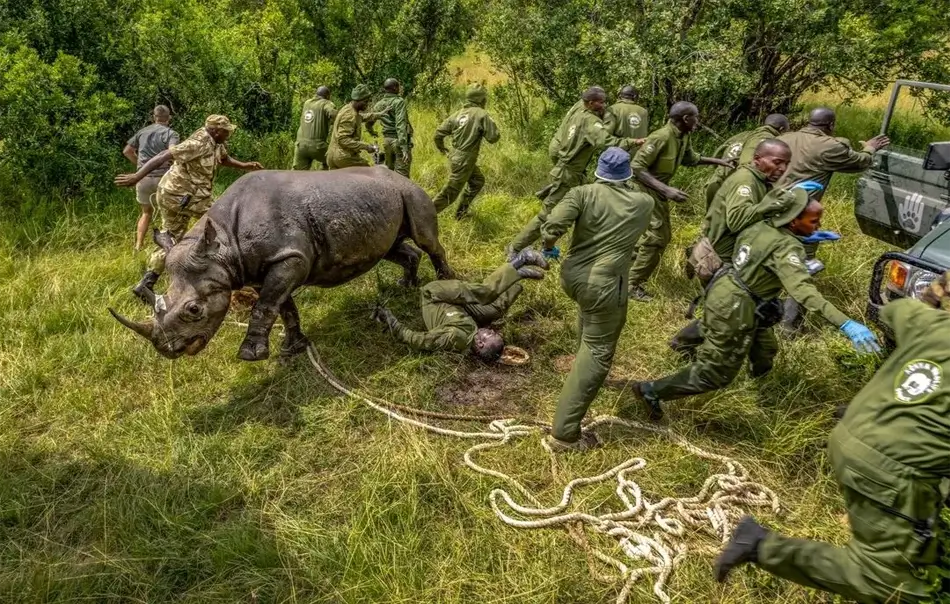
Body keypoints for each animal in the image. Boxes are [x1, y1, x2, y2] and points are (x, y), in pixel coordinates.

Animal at [110, 168, 454, 361]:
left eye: (194, 310)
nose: (168, 351)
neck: (223, 243)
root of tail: (399, 174)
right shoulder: (264, 268)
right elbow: (283, 307)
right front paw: (293, 348)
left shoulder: (289, 258)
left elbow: (264, 307)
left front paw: (250, 355)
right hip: (380, 199)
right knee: (392, 247)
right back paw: (406, 286)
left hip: (409, 191)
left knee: (426, 239)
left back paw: (445, 281)